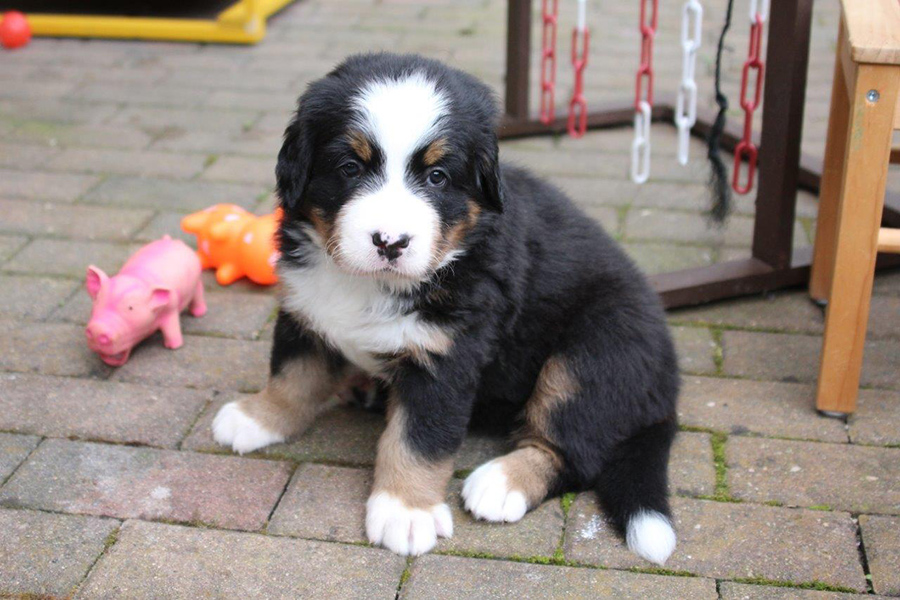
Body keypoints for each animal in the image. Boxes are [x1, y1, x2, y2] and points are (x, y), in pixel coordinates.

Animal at [212, 53, 680, 565]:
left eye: (437, 176)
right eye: (350, 167)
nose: (390, 241)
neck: (370, 284)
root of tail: (665, 393)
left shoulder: (444, 356)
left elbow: (418, 440)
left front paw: (404, 511)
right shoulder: (305, 310)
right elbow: (291, 376)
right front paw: (257, 417)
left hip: (595, 350)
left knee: (575, 450)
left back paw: (502, 482)